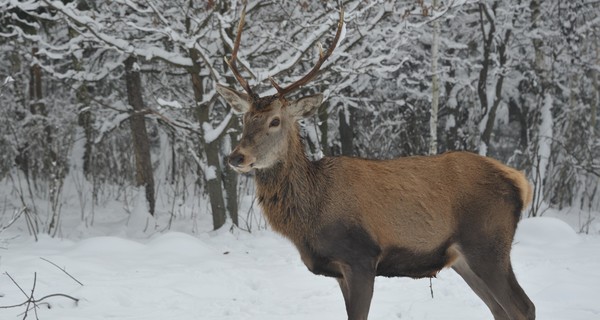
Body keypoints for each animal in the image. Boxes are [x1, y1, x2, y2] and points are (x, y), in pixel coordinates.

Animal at [218, 3, 536, 320]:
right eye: (244, 118)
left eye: (275, 121)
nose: (236, 156)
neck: (313, 213)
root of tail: (520, 182)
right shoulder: (339, 271)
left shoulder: (361, 257)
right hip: (464, 259)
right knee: (499, 309)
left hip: (488, 244)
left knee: (523, 306)